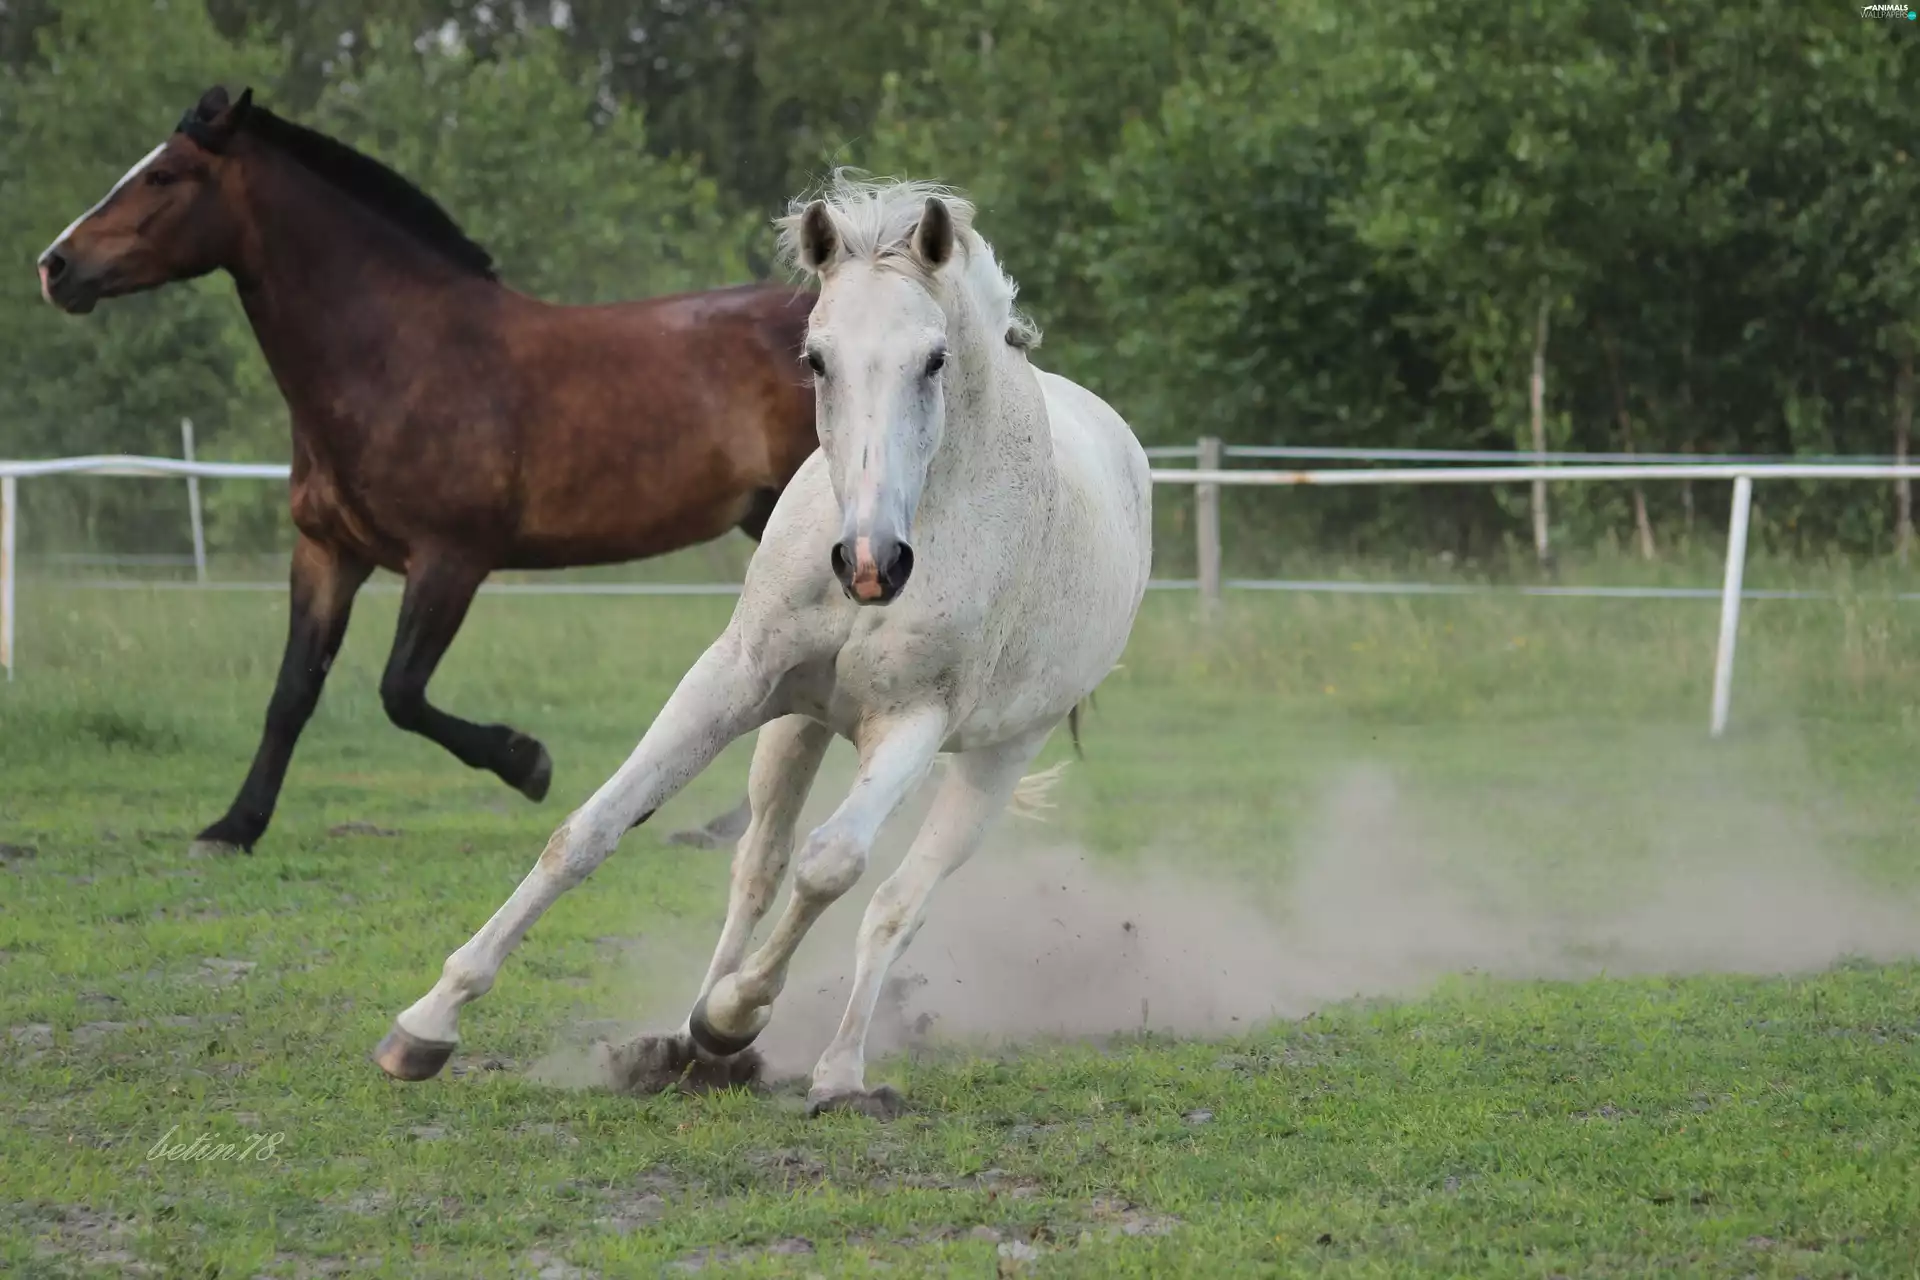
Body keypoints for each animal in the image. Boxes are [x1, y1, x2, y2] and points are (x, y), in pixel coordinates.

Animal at [35, 86, 810, 854]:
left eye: (164, 176)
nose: (55, 267)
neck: (398, 356)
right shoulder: (328, 554)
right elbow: (292, 693)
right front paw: (234, 827)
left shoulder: (449, 559)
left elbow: (400, 692)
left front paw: (527, 761)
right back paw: (725, 824)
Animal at [373, 172, 1153, 1117]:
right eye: (815, 358)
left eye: (934, 360)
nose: (870, 564)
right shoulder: (736, 680)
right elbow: (591, 829)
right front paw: (426, 1023)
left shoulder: (914, 722)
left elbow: (835, 867)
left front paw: (736, 1015)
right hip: (799, 724)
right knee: (757, 866)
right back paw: (682, 1047)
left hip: (996, 757)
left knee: (897, 900)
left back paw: (827, 1067)